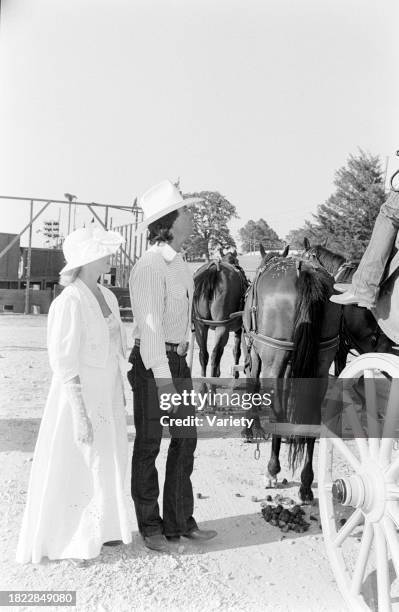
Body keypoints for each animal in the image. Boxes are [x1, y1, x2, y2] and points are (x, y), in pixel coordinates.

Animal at [242, 251, 342, 500]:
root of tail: (304, 271)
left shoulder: (255, 356)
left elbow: (252, 386)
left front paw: (250, 429)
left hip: (273, 360)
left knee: (276, 408)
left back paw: (272, 469)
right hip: (321, 366)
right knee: (312, 417)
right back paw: (306, 482)